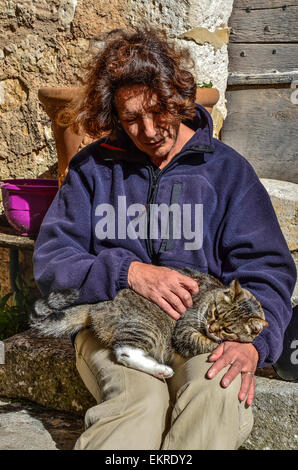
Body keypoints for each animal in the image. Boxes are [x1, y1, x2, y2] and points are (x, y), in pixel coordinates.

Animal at [30, 266, 268, 380]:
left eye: (227, 328)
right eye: (216, 312)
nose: (211, 327)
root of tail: (100, 305)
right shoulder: (184, 330)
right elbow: (203, 342)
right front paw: (218, 343)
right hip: (146, 327)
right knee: (125, 352)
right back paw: (162, 370)